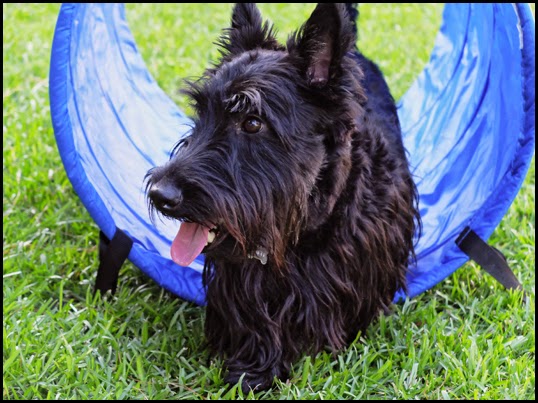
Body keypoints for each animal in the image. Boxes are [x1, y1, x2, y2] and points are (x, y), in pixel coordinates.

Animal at [146, 3, 420, 392]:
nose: (161, 195)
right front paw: (253, 370)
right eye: (201, 112)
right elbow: (257, 324)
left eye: (253, 122)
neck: (305, 221)